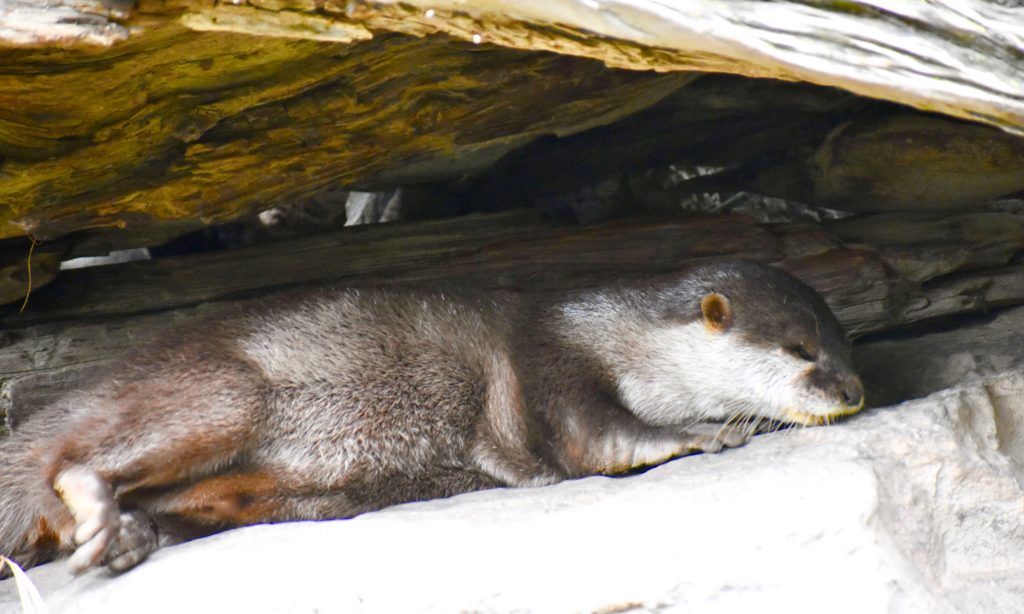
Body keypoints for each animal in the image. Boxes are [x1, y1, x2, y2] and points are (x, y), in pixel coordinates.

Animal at [0, 258, 864, 577]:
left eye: (844, 340)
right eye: (799, 349)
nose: (853, 390)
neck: (616, 339)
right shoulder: (550, 366)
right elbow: (602, 441)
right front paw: (710, 432)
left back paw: (128, 535)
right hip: (219, 393)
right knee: (72, 457)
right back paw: (94, 507)